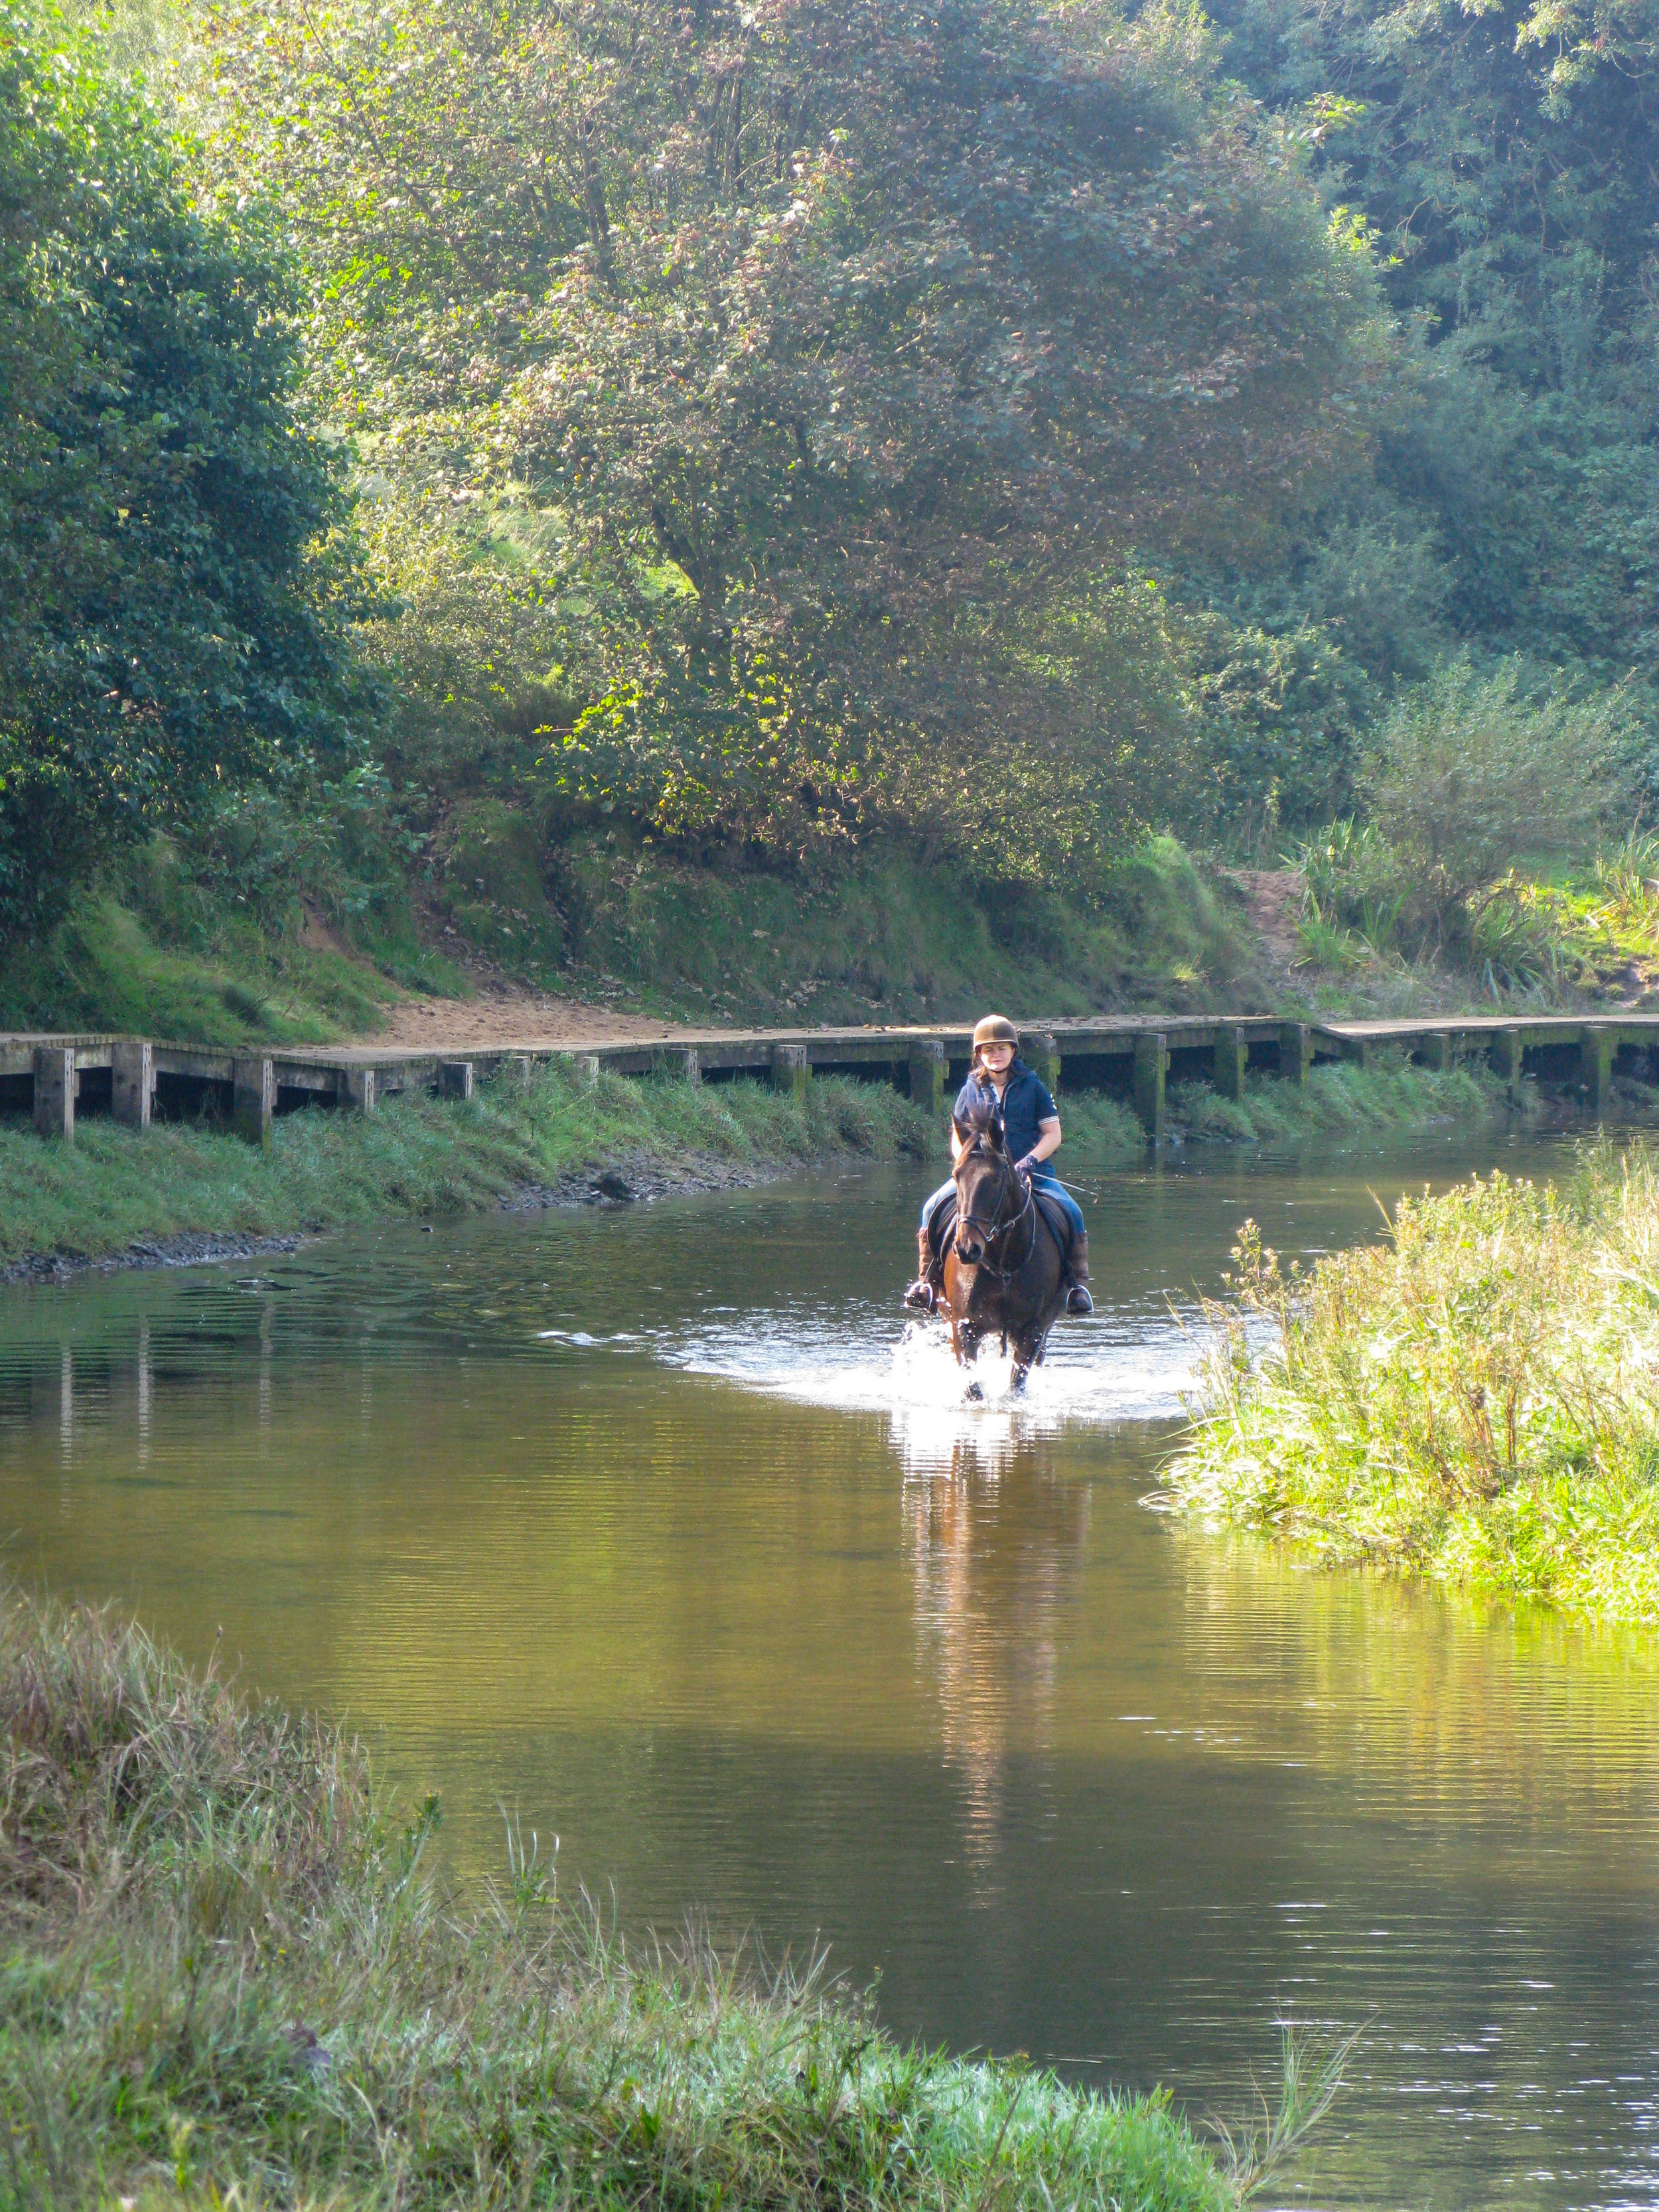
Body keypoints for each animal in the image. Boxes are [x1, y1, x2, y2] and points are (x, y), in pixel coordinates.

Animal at [942, 1106, 1070, 1398]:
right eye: (956, 1175)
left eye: (994, 1179)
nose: (967, 1249)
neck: (1003, 1261)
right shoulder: (963, 1326)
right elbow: (972, 1389)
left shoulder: (1032, 1331)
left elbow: (1015, 1387)